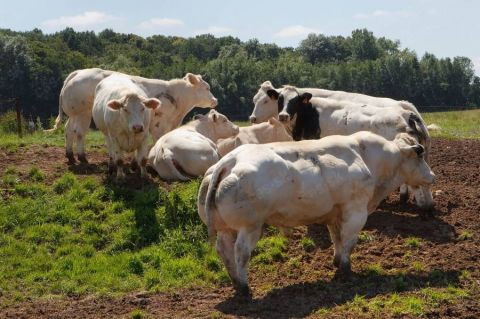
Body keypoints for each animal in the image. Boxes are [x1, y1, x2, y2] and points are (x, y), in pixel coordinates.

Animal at [45, 69, 218, 166]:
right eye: (206, 87)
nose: (215, 100)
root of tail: (77, 73)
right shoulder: (158, 125)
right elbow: (157, 142)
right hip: (79, 113)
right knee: (75, 132)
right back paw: (77, 157)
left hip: (80, 114)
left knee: (73, 131)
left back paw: (76, 157)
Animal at [198, 132, 436, 298]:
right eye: (420, 154)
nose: (433, 175)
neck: (367, 158)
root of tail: (229, 160)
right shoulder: (355, 210)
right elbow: (348, 241)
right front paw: (346, 270)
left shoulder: (334, 213)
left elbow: (336, 238)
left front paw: (337, 261)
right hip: (250, 226)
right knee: (241, 253)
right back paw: (245, 287)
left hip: (226, 228)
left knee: (224, 250)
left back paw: (235, 282)